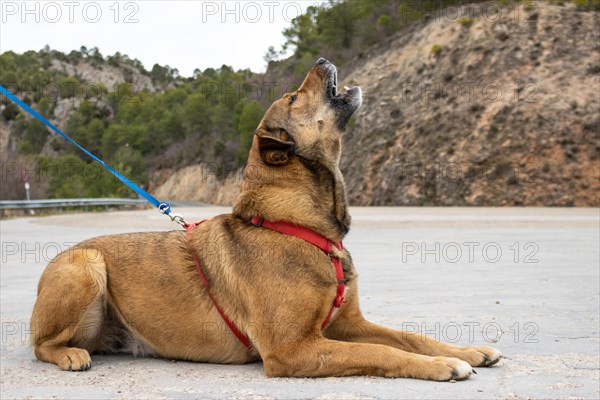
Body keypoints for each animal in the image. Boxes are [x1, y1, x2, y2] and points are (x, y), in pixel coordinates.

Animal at [29, 57, 502, 380]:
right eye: (294, 97)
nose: (321, 60)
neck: (298, 224)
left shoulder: (350, 324)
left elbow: (409, 336)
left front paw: (464, 351)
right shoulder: (292, 348)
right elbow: (385, 353)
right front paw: (443, 365)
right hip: (86, 267)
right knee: (39, 344)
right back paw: (69, 354)